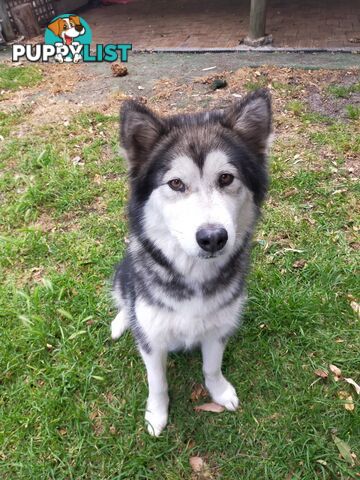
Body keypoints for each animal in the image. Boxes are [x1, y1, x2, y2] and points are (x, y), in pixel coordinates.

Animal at [111, 88, 272, 436]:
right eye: (175, 183)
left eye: (226, 178)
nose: (213, 237)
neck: (194, 276)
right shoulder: (152, 339)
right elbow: (157, 382)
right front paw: (156, 414)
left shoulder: (218, 330)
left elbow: (211, 367)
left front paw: (220, 392)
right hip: (121, 273)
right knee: (124, 299)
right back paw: (120, 321)